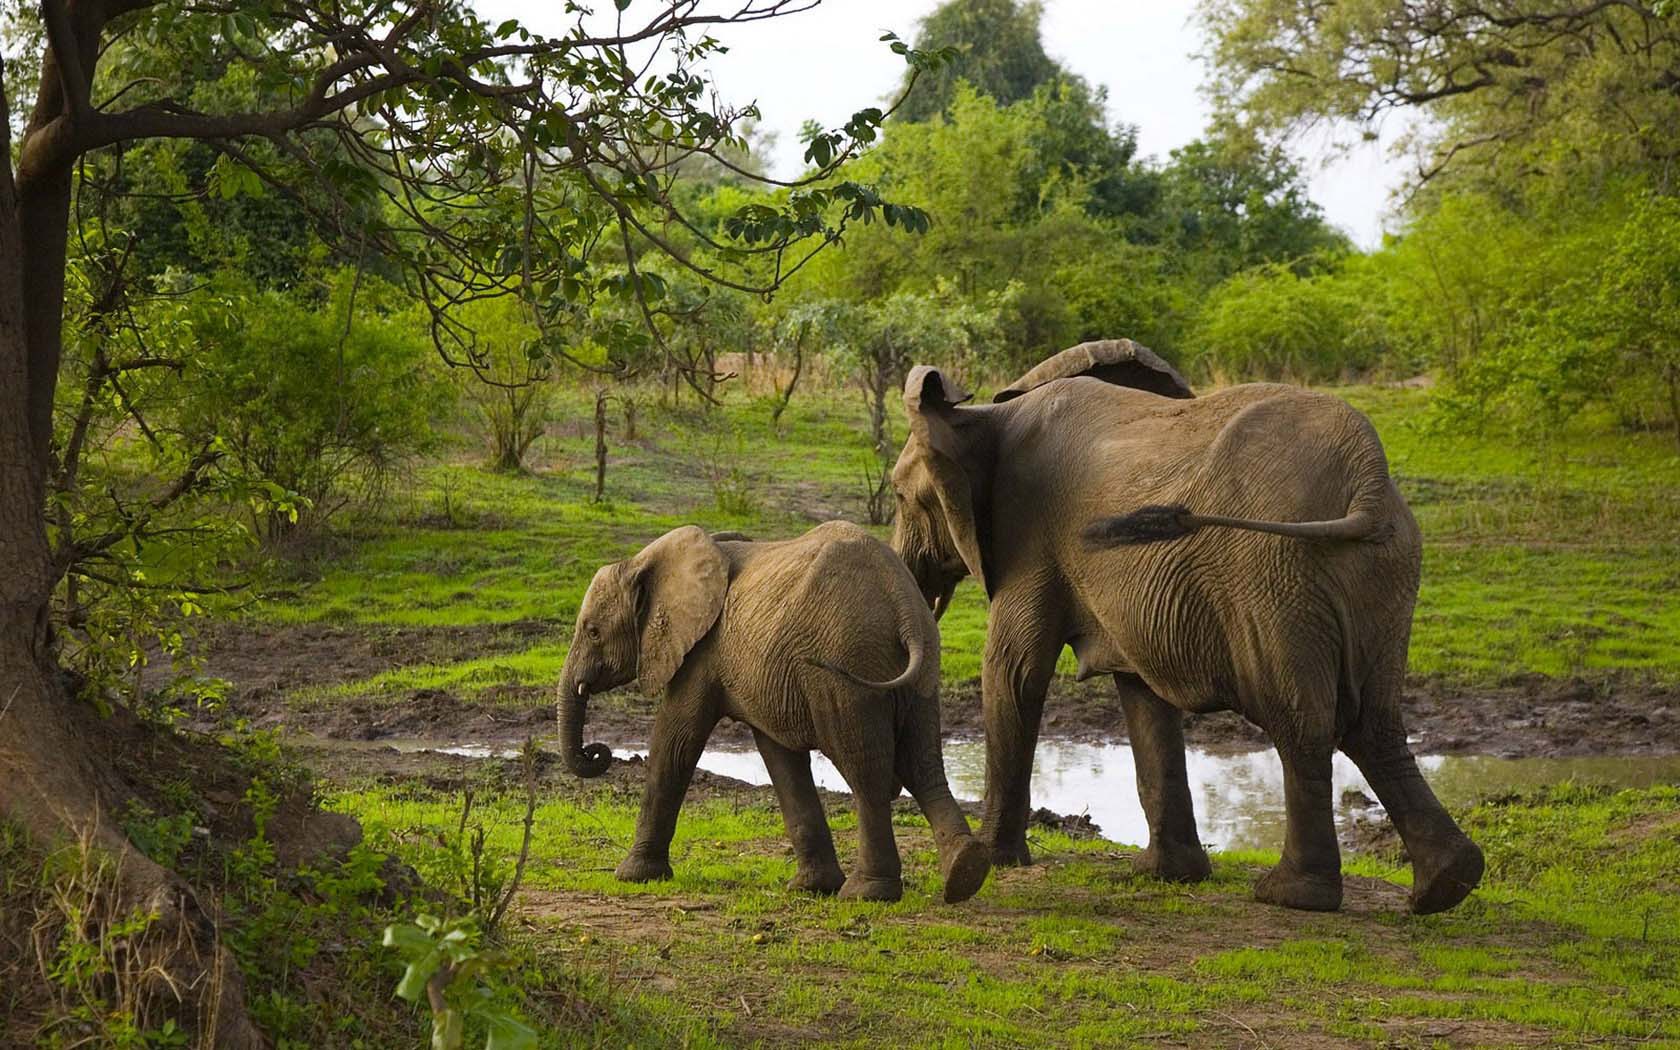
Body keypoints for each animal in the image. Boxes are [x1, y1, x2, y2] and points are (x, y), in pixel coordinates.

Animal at [557, 520, 987, 900]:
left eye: (593, 632)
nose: (597, 752)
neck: (644, 560)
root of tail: (902, 602)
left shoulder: (701, 652)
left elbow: (675, 741)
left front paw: (632, 876)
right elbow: (779, 758)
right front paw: (811, 887)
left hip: (845, 670)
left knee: (867, 772)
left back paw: (867, 893)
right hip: (922, 671)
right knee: (923, 765)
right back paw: (964, 874)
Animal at [893, 342, 1485, 907]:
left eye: (899, 496)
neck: (986, 416)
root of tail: (1365, 476)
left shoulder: (1029, 541)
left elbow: (1014, 673)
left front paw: (999, 860)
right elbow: (1142, 695)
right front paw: (1165, 875)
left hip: (1273, 573)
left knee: (1301, 722)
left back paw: (1291, 895)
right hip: (1386, 569)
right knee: (1377, 724)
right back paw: (1445, 885)